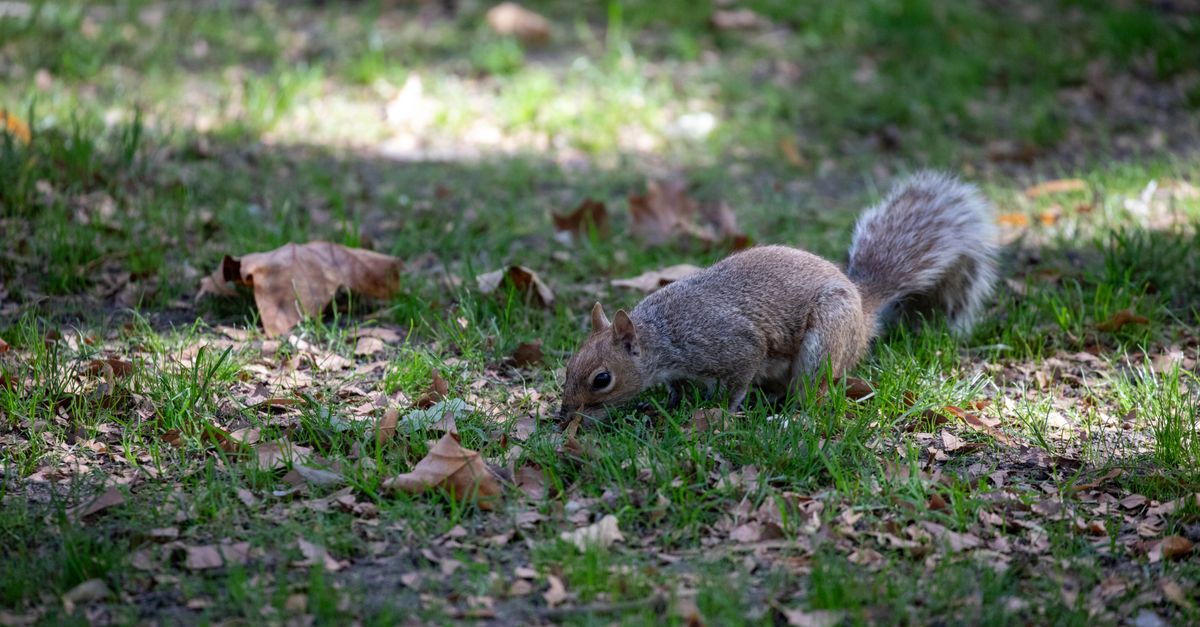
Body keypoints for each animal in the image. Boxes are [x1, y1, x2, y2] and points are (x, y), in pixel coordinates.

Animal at [557, 171, 998, 421]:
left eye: (602, 379)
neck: (663, 334)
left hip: (823, 345)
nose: (565, 414)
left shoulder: (734, 346)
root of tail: (862, 310)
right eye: (569, 364)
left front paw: (724, 412)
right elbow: (676, 387)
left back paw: (784, 417)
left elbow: (737, 382)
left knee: (811, 391)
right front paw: (670, 402)